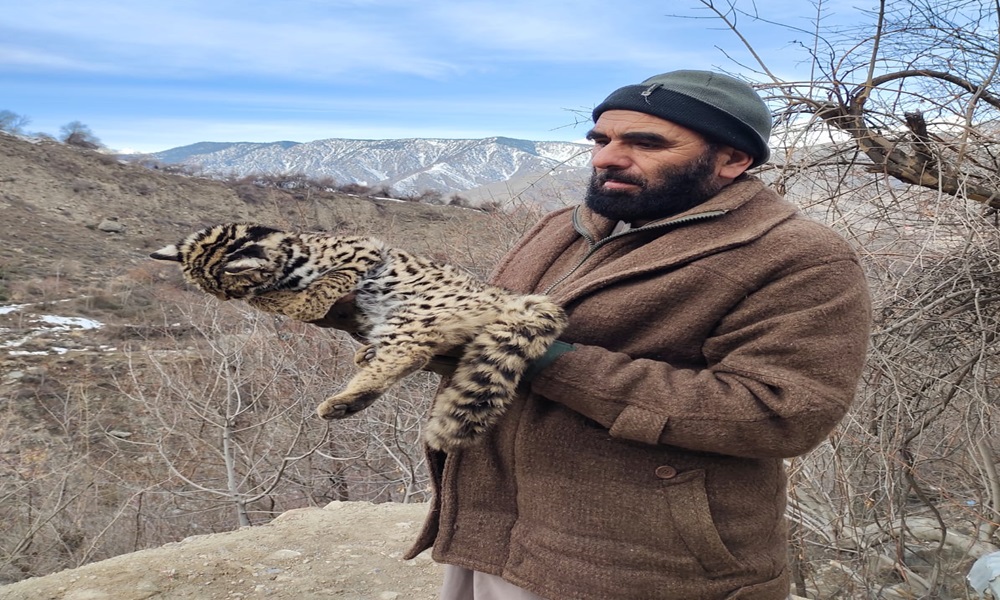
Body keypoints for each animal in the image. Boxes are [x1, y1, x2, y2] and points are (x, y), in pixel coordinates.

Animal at [150, 222, 568, 451]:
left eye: (225, 288)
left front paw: (291, 301)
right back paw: (356, 378)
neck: (291, 254)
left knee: (409, 354)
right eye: (208, 291)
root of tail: (504, 296)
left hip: (414, 310)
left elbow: (320, 289)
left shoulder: (362, 252)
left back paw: (342, 400)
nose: (226, 299)